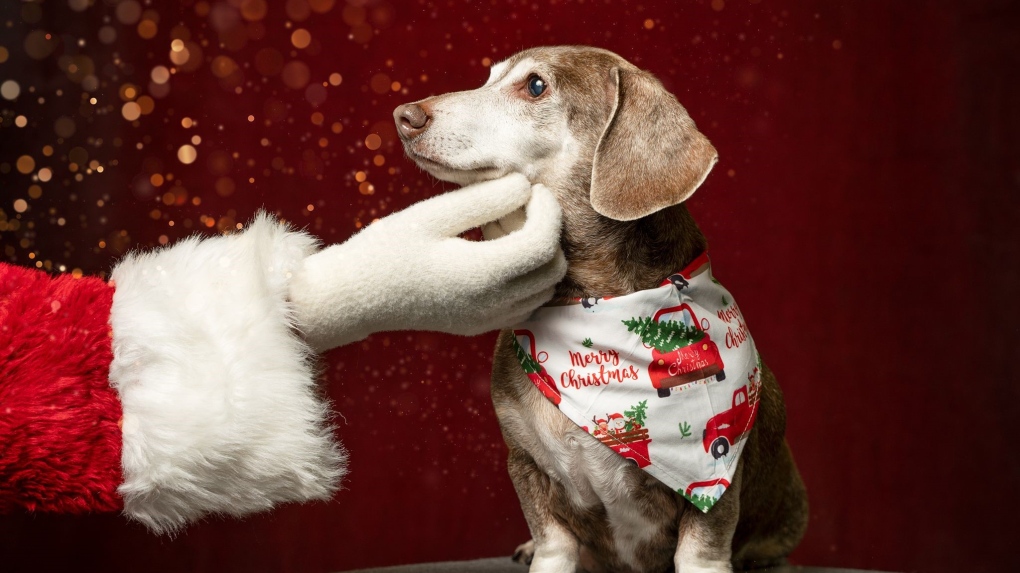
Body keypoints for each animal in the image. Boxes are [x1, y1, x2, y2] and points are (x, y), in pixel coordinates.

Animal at [393, 45, 807, 570]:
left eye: (535, 85)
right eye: (488, 79)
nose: (404, 116)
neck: (591, 306)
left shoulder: (716, 481)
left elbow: (701, 550)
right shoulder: (525, 462)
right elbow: (553, 541)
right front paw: (540, 551)